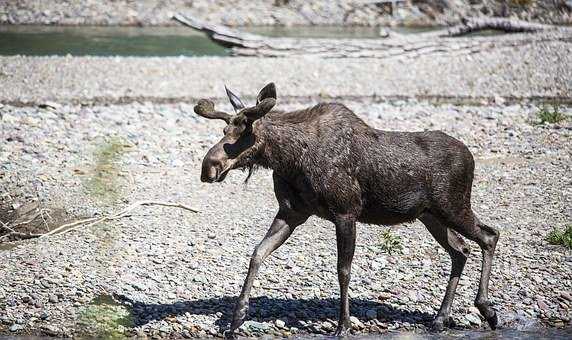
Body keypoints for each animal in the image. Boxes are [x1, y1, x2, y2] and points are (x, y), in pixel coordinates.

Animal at [194, 83, 498, 336]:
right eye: (224, 131)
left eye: (246, 133)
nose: (208, 167)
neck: (289, 160)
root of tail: (471, 157)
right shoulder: (291, 213)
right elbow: (257, 253)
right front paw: (237, 317)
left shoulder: (345, 212)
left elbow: (343, 270)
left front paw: (344, 325)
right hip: (431, 216)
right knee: (461, 250)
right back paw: (440, 318)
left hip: (453, 206)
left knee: (489, 235)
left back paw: (486, 309)